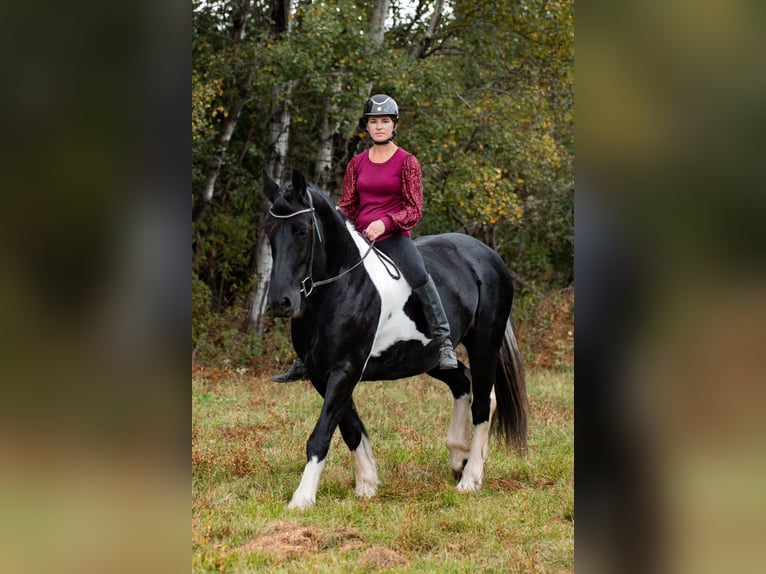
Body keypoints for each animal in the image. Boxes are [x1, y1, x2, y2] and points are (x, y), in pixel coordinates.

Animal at [264, 169, 528, 510]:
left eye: (301, 231)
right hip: (430, 358)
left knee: (483, 402)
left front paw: (302, 498)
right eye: (270, 232)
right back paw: (459, 456)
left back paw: (470, 480)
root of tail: (488, 256)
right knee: (462, 384)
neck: (339, 288)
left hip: (484, 345)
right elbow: (349, 426)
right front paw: (366, 484)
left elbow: (322, 432)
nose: (280, 302)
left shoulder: (345, 369)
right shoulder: (321, 374)